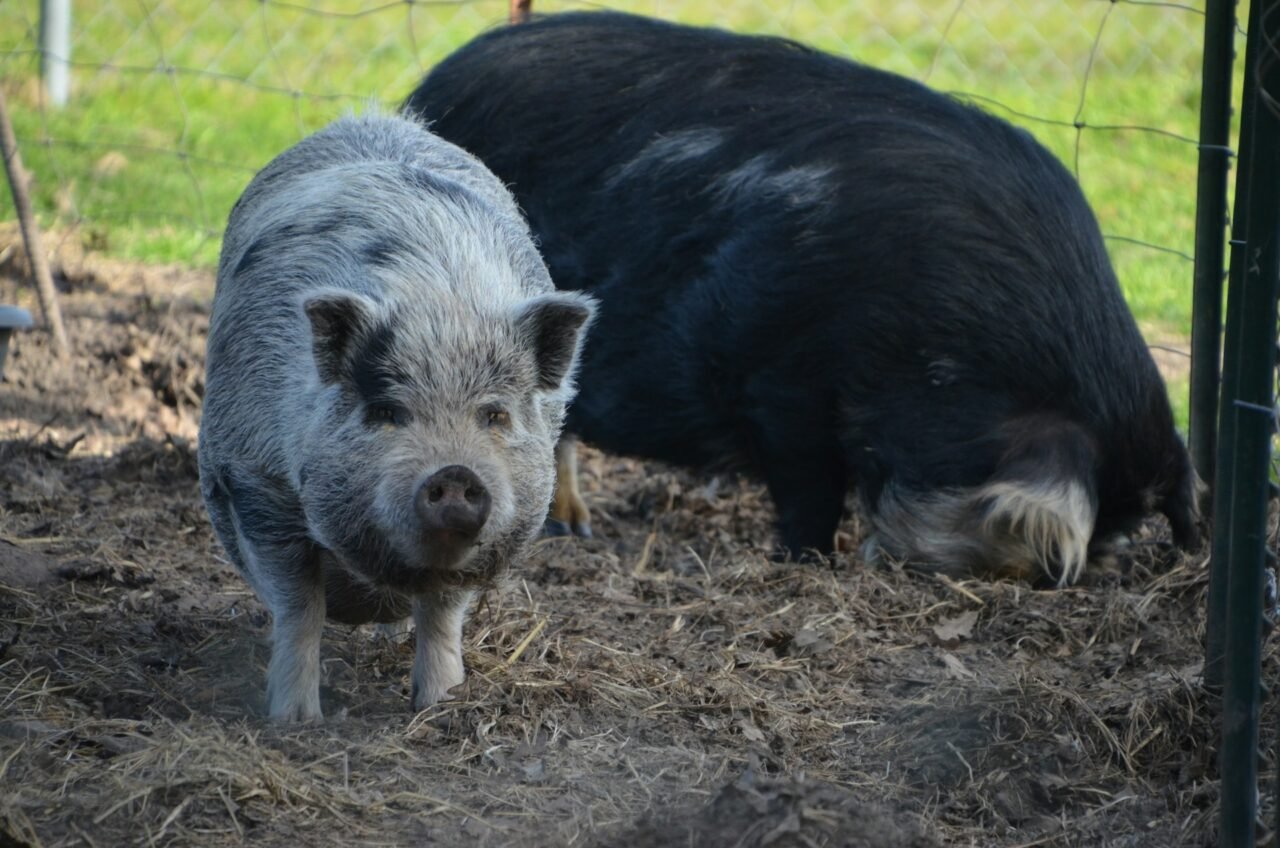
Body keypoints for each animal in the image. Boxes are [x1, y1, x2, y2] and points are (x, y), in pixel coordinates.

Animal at [198, 112, 594, 721]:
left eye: (495, 414)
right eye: (387, 411)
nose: (455, 473)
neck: (439, 313)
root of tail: (375, 117)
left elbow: (443, 615)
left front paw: (441, 703)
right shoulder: (255, 480)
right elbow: (299, 607)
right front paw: (295, 721)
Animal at [404, 12, 1201, 585]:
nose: (1053, 574)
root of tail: (427, 92)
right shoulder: (778, 367)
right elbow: (809, 487)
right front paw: (809, 560)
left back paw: (574, 523)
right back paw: (562, 529)